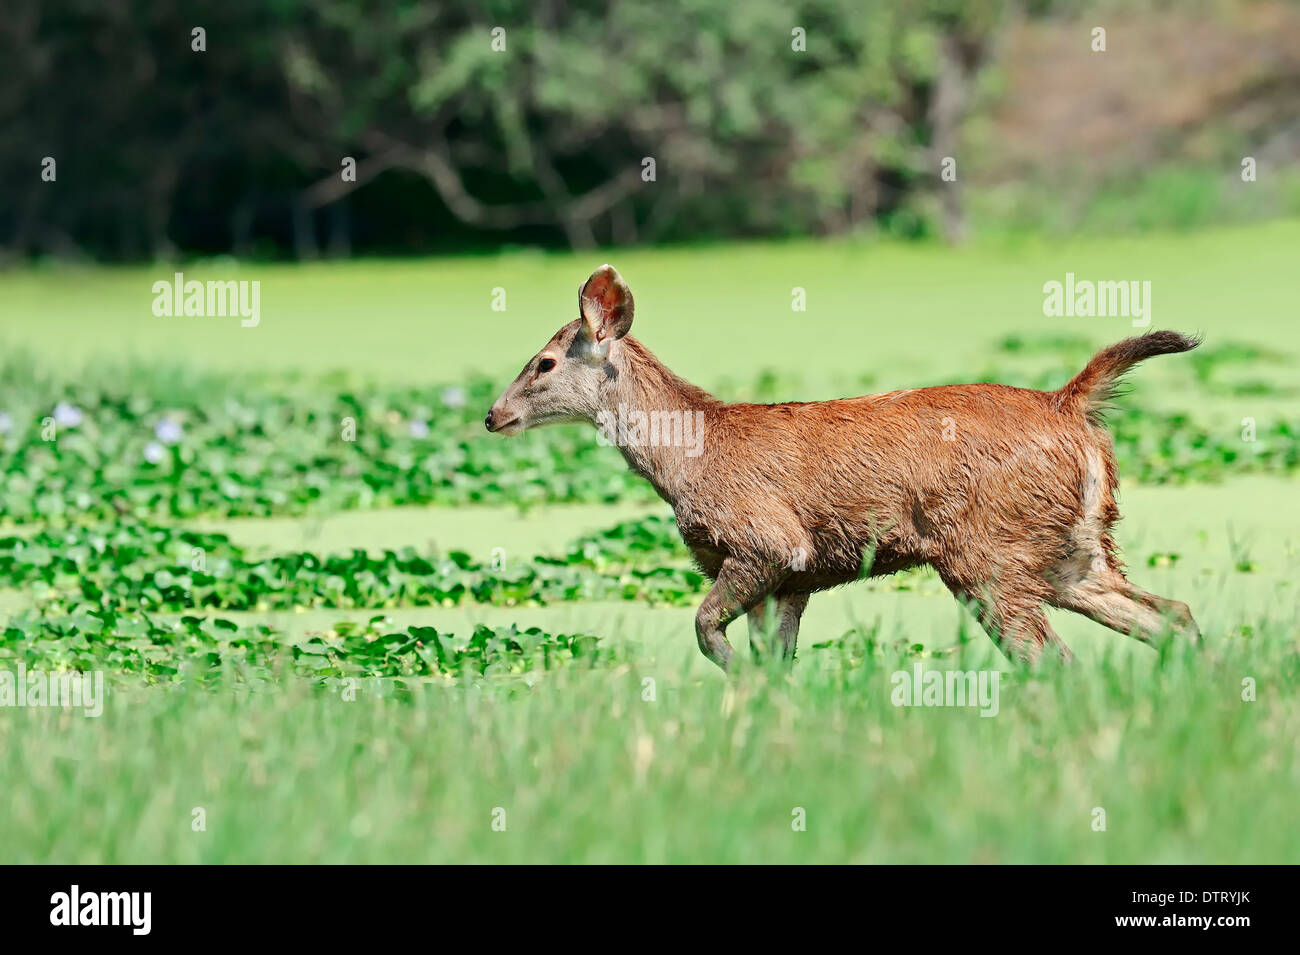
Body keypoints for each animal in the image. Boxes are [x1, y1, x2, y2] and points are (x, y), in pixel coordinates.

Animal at [486, 265, 1196, 670]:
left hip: (987, 549)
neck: (687, 461)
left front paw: (738, 681)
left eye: (544, 363)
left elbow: (704, 630)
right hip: (1075, 548)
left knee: (1053, 657)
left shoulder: (766, 542)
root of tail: (1068, 404)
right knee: (1172, 614)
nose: (493, 415)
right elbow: (777, 663)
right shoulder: (790, 581)